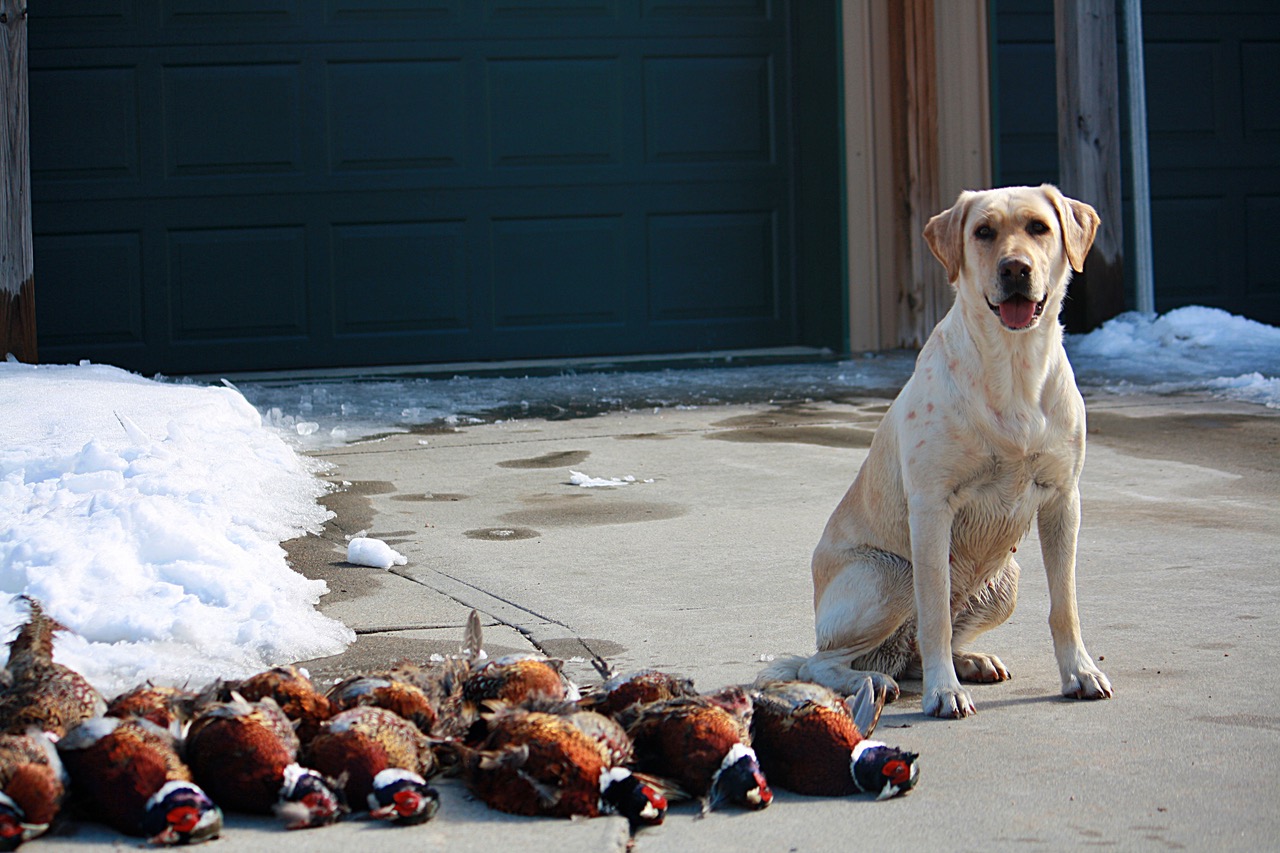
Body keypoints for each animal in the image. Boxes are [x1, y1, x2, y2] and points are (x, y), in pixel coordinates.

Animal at [762, 183, 1116, 712]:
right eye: (983, 232)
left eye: (1039, 227)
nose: (1015, 269)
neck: (1013, 368)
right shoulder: (932, 508)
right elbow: (935, 618)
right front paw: (943, 692)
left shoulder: (1062, 500)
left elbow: (1064, 606)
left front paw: (1080, 672)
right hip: (891, 575)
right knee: (822, 662)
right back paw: (879, 681)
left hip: (1005, 582)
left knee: (913, 652)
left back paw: (970, 661)